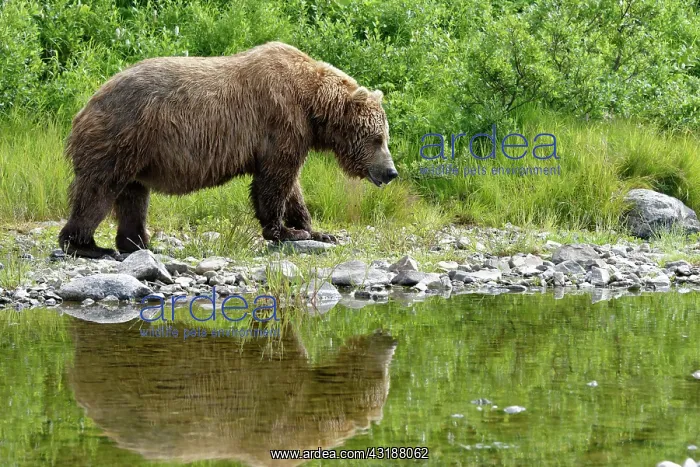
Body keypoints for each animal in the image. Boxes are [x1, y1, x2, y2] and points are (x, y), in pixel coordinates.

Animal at [58, 41, 398, 258]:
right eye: (377, 138)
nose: (391, 172)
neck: (312, 105)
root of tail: (86, 106)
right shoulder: (281, 121)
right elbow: (275, 180)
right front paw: (284, 230)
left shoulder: (292, 132)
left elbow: (292, 187)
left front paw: (316, 230)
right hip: (119, 136)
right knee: (98, 191)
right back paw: (88, 246)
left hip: (136, 153)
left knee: (133, 196)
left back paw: (141, 244)